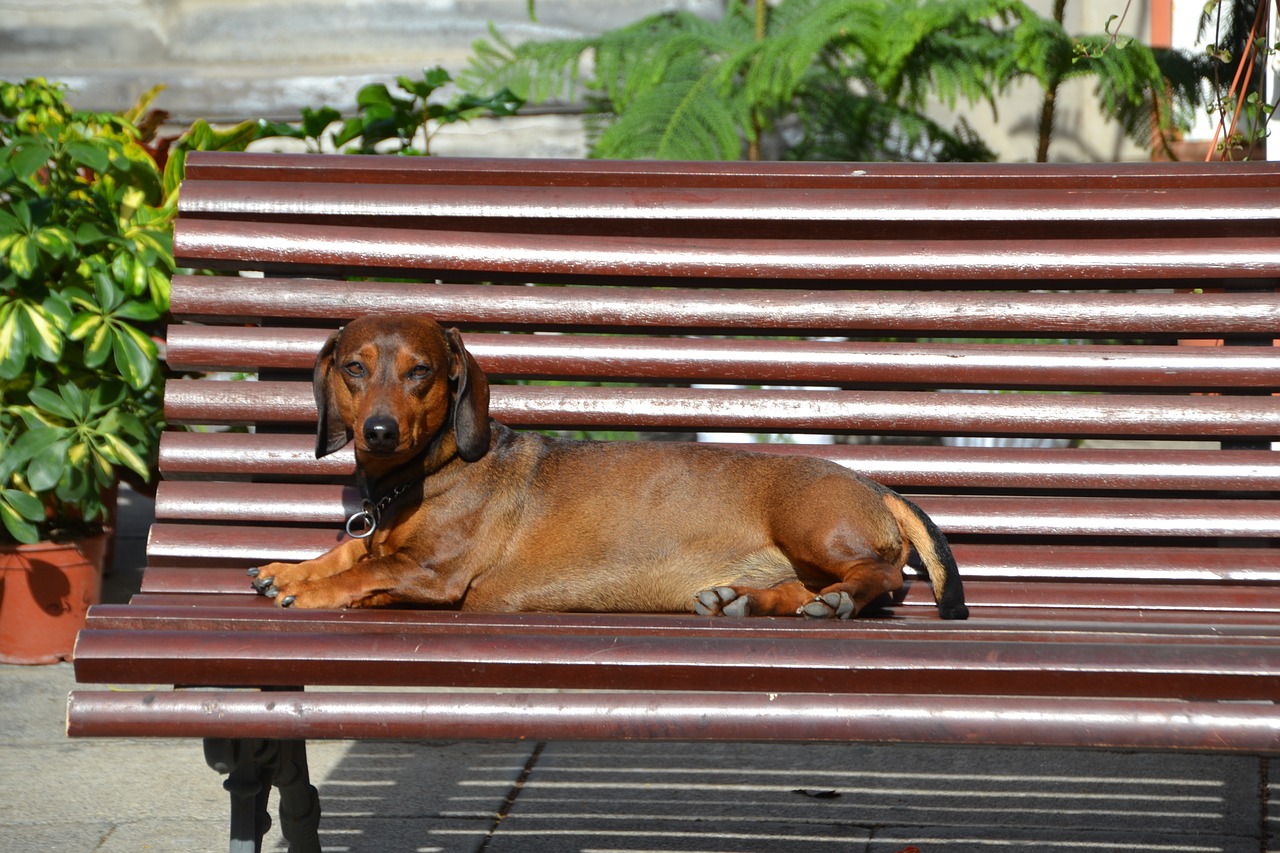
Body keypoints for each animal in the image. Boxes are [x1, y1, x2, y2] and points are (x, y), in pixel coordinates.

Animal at [249, 312, 967, 617]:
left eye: (420, 371)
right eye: (354, 368)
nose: (379, 430)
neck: (424, 472)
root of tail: (873, 482)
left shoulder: (435, 573)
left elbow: (365, 571)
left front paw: (307, 589)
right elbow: (352, 551)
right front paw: (291, 568)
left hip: (812, 525)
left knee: (880, 576)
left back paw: (842, 600)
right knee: (806, 588)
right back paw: (743, 598)